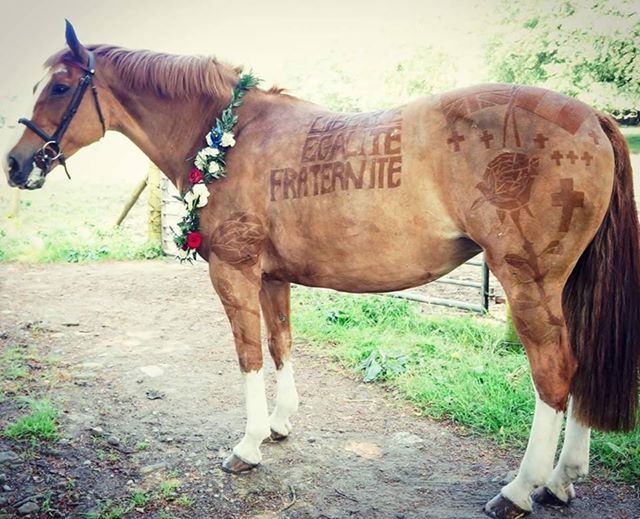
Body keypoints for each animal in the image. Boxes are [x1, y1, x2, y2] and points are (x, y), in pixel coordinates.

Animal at [4, 21, 639, 519]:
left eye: (61, 87)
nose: (15, 164)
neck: (231, 134)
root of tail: (591, 115)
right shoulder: (271, 276)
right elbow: (281, 345)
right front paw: (279, 425)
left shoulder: (233, 272)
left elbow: (248, 355)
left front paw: (249, 445)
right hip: (567, 286)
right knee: (579, 365)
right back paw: (561, 479)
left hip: (529, 281)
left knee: (554, 373)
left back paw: (521, 489)